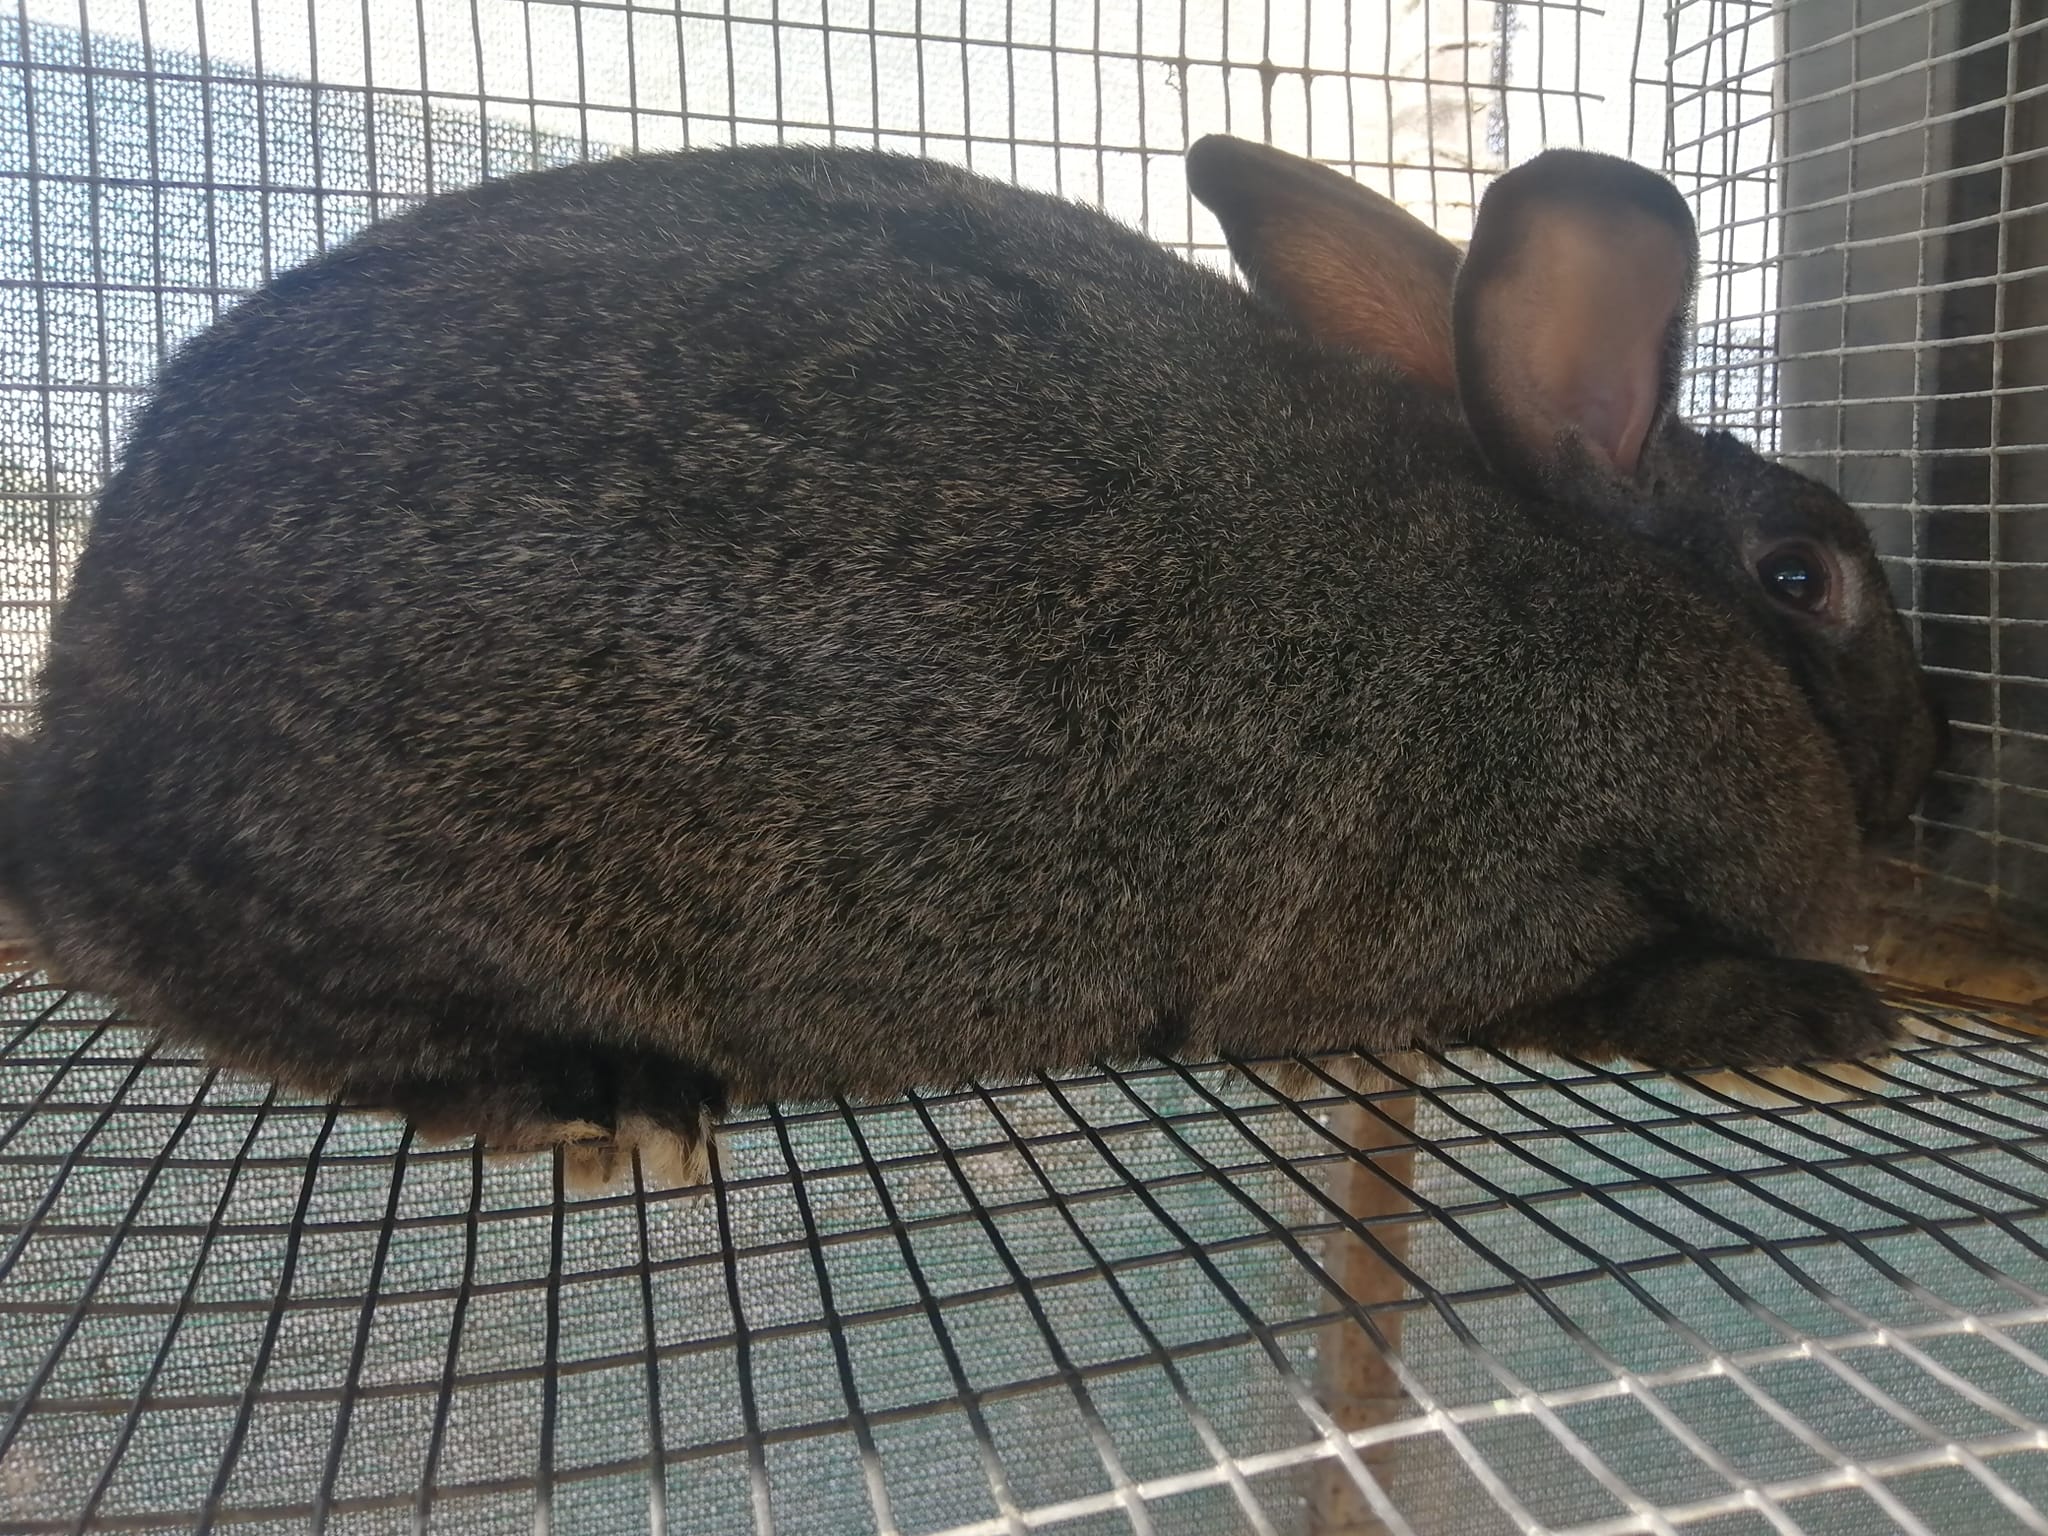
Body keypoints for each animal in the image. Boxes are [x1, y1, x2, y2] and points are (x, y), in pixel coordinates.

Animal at [0, 134, 1945, 1189]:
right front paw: (1817, 1023)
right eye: (1804, 576)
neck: (1601, 600)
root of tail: (72, 744)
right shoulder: (1468, 903)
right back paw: (612, 1100)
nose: (1929, 788)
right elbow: (1613, 979)